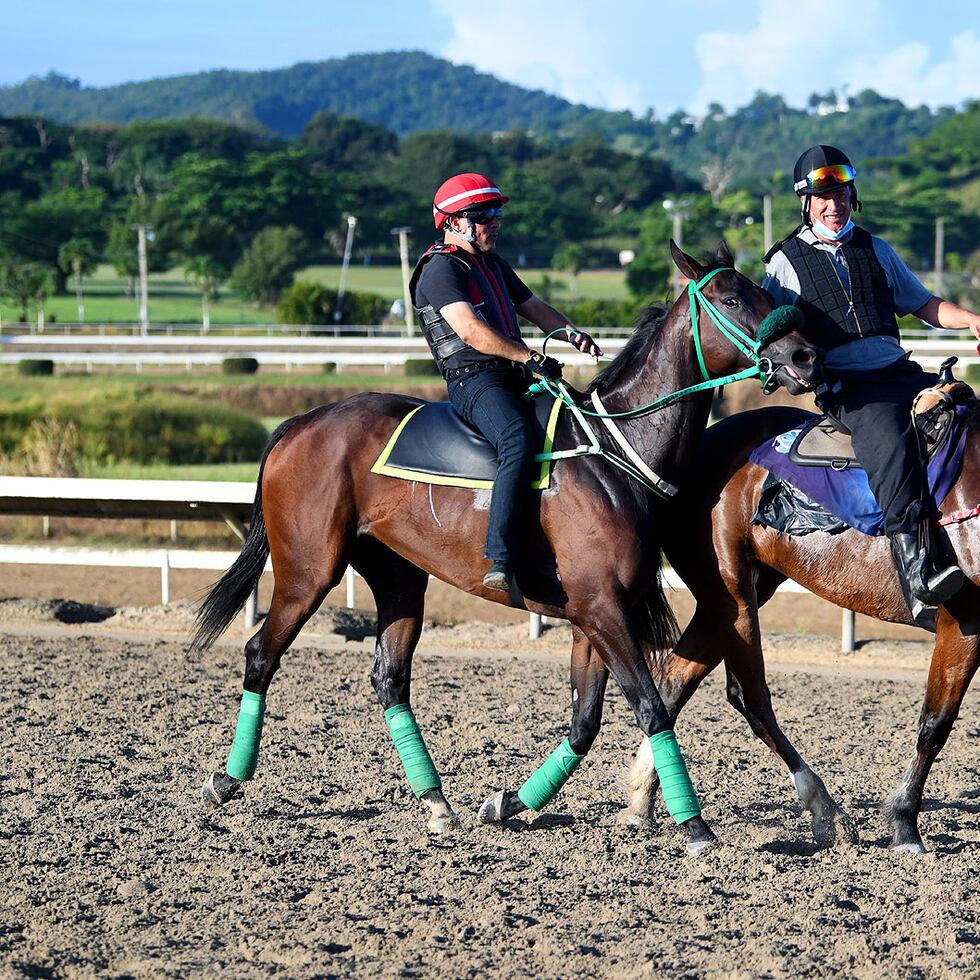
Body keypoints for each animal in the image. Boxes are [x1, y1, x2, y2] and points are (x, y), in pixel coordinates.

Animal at [189, 241, 820, 852]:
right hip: (309, 571)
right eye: (732, 299)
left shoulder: (592, 615)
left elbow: (585, 721)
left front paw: (509, 802)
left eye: (766, 293)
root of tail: (299, 423)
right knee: (260, 654)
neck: (615, 451)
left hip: (399, 578)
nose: (805, 356)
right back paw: (227, 779)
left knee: (390, 677)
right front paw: (694, 825)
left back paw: (436, 803)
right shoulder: (602, 610)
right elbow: (649, 706)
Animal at [616, 402, 980, 852]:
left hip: (735, 597)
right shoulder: (963, 625)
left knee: (673, 681)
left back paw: (645, 799)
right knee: (748, 697)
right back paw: (825, 811)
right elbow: (936, 724)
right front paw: (905, 824)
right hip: (732, 597)